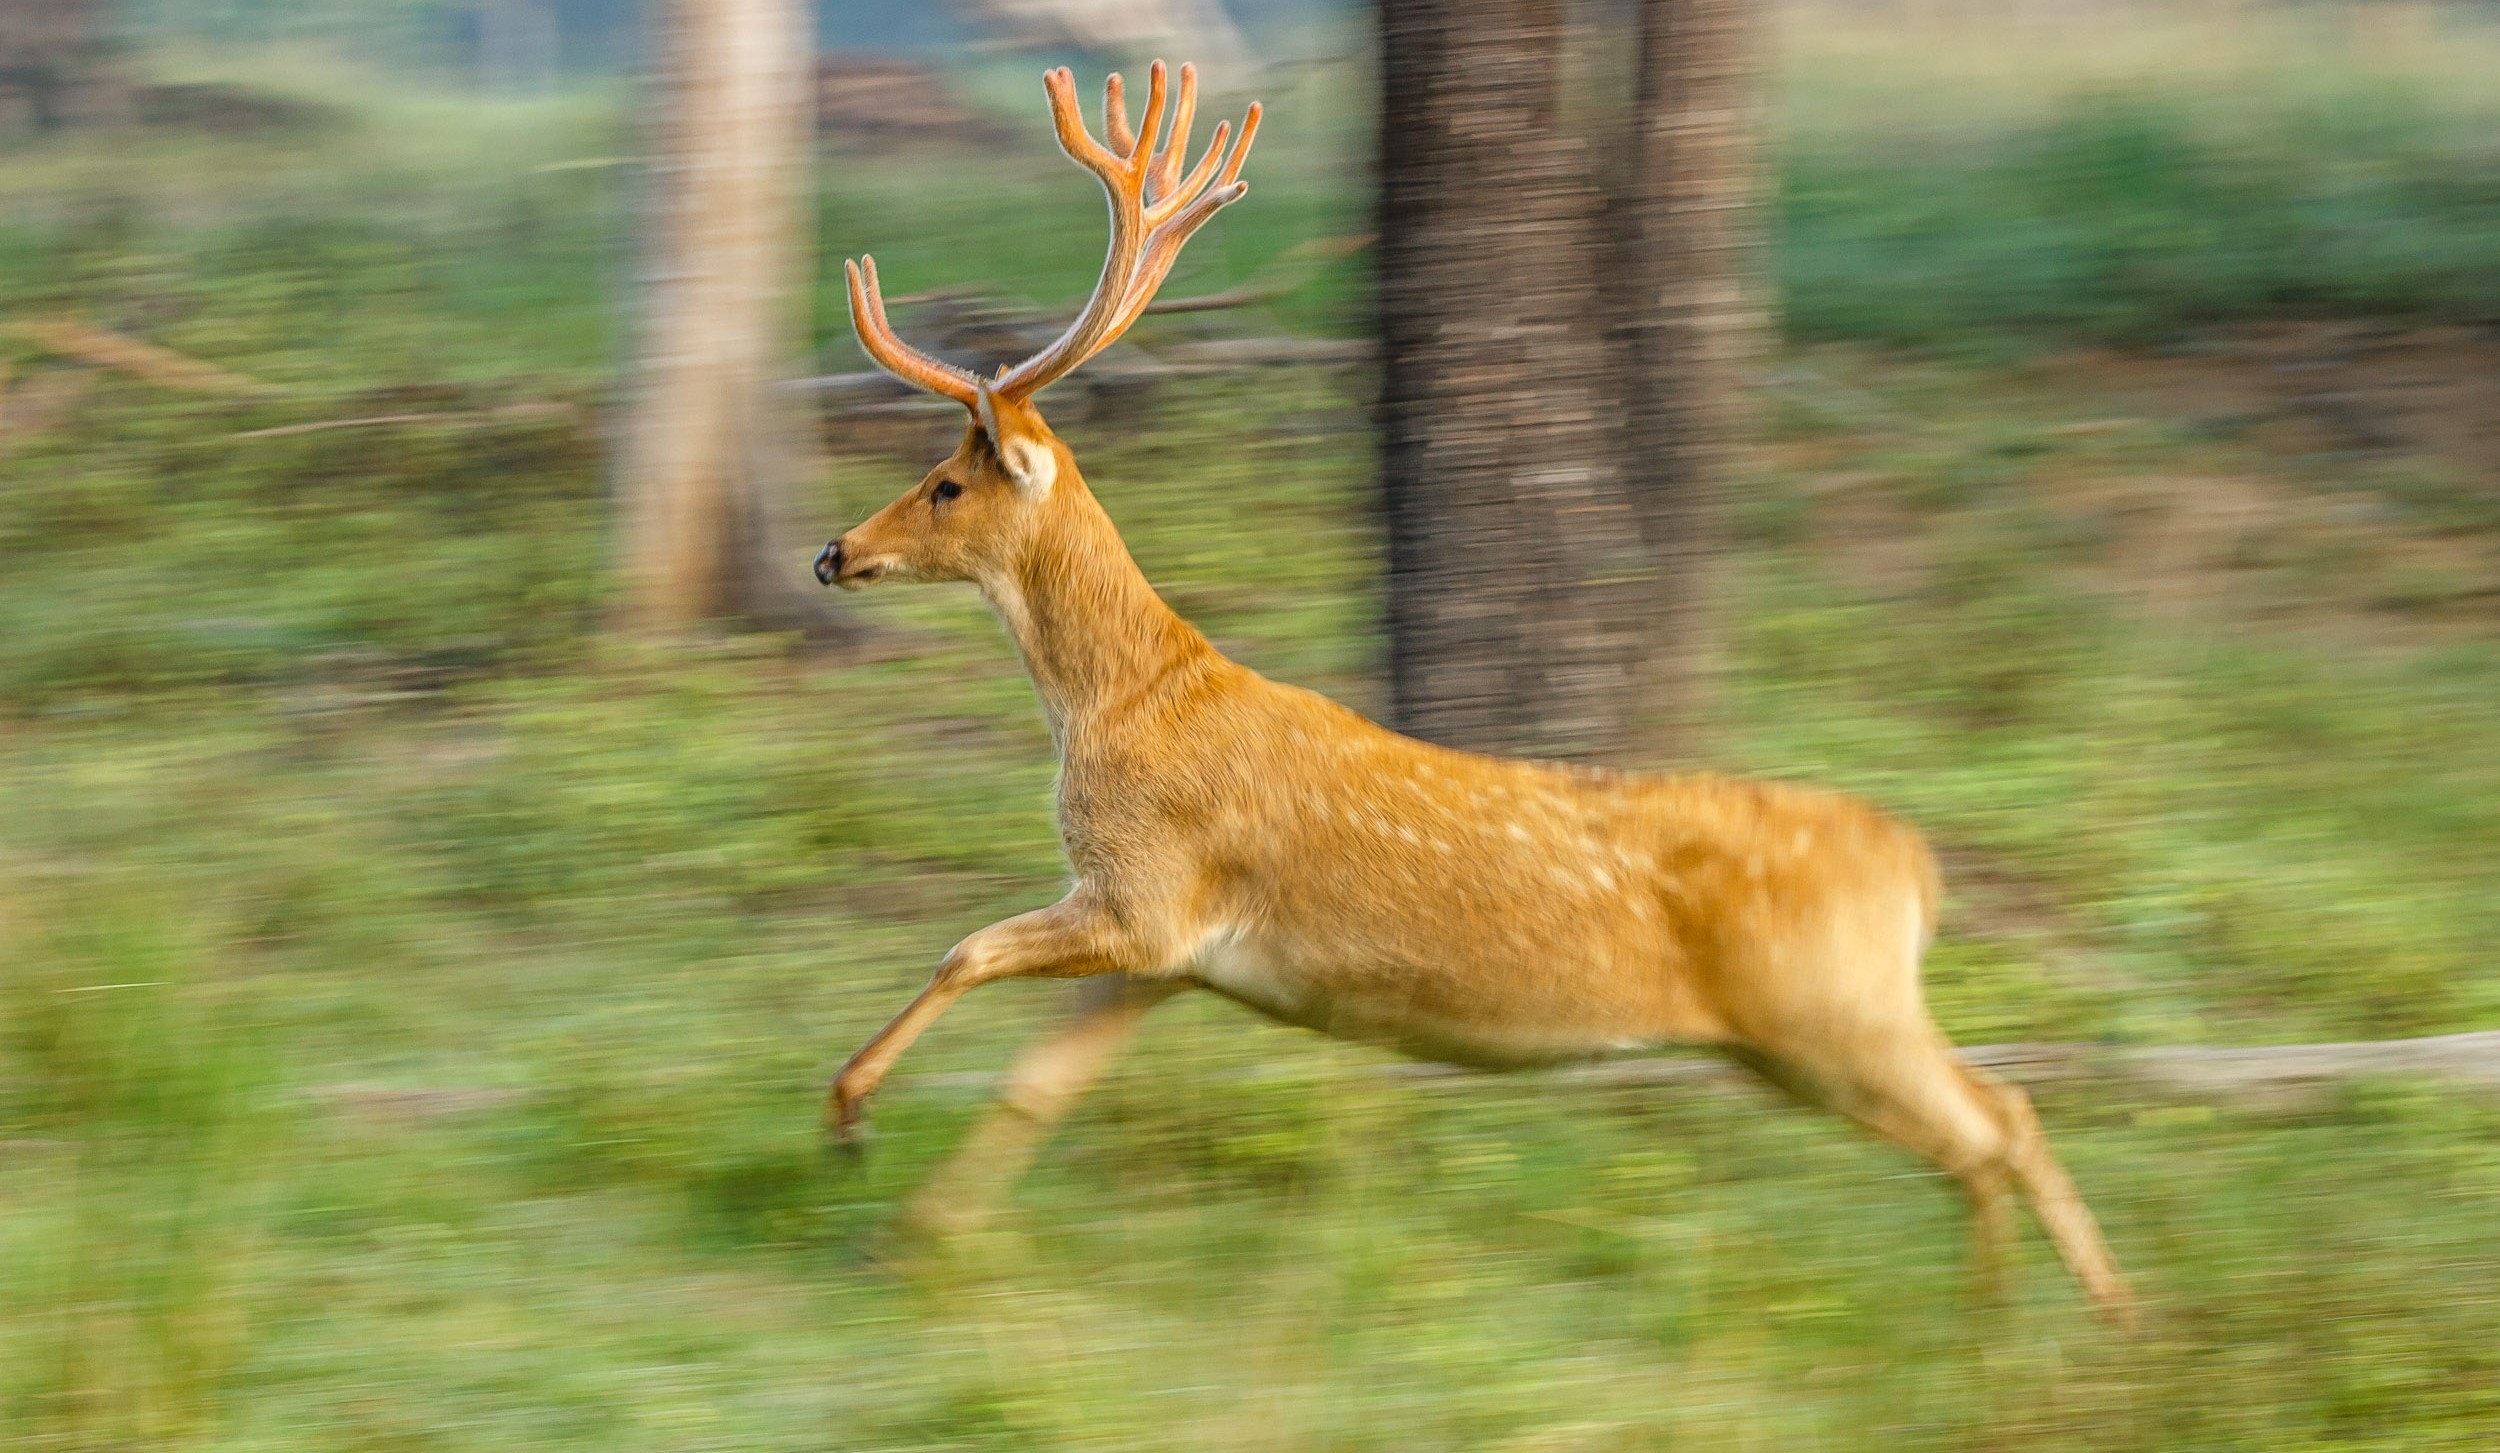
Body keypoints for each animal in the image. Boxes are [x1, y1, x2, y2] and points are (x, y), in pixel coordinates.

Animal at [810, 59, 2140, 1330]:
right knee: (1988, 1121)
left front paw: (849, 1111)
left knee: (1998, 1119)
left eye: (943, 483)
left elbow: (963, 947)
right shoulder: (1169, 957)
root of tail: (1916, 869)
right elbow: (1034, 1086)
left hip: (1829, 1014)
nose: (832, 551)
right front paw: (910, 1236)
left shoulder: (1148, 892)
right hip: (1813, 1031)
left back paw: (2081, 1330)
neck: (1124, 703)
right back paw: (2027, 1322)